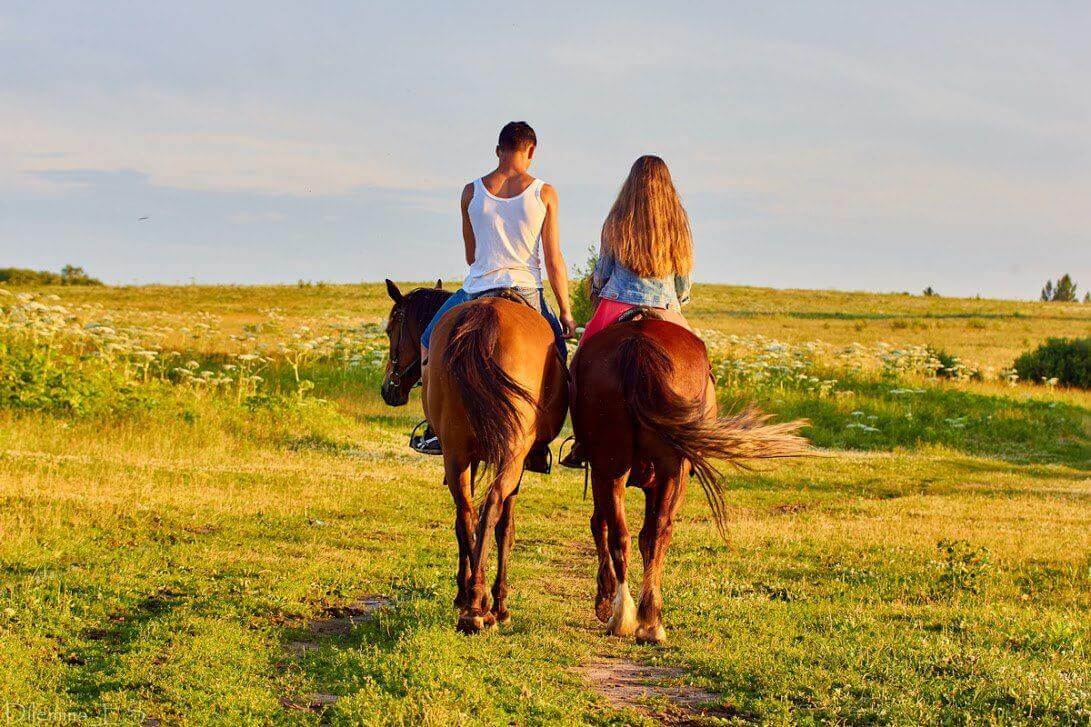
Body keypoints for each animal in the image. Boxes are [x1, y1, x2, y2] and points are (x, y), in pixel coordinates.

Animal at [381, 277, 567, 628]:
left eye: (389, 330)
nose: (388, 390)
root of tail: (487, 318)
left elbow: (469, 522)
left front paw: (466, 591)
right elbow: (504, 527)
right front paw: (500, 602)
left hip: (458, 453)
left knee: (466, 512)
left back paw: (472, 601)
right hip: (508, 454)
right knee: (489, 507)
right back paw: (480, 604)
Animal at [571, 314, 811, 641]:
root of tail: (637, 341)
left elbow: (604, 525)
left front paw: (605, 601)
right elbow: (603, 525)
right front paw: (605, 601)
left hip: (622, 465)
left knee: (635, 534)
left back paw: (635, 619)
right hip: (653, 469)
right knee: (646, 533)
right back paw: (640, 619)